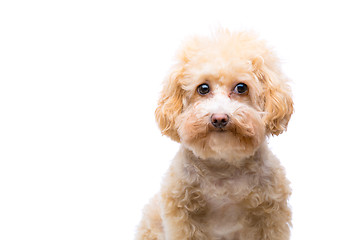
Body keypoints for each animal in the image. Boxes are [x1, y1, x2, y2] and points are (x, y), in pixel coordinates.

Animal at [135, 30, 292, 240]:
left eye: (241, 88)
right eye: (203, 88)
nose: (219, 118)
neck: (222, 162)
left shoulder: (270, 215)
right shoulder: (182, 215)